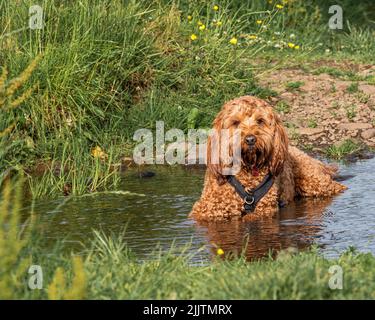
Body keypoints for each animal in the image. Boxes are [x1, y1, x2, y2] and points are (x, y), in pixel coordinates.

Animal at [189, 95, 348, 220]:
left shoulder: (264, 210)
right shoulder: (206, 210)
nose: (250, 139)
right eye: (235, 122)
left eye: (260, 121)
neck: (247, 168)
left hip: (315, 183)